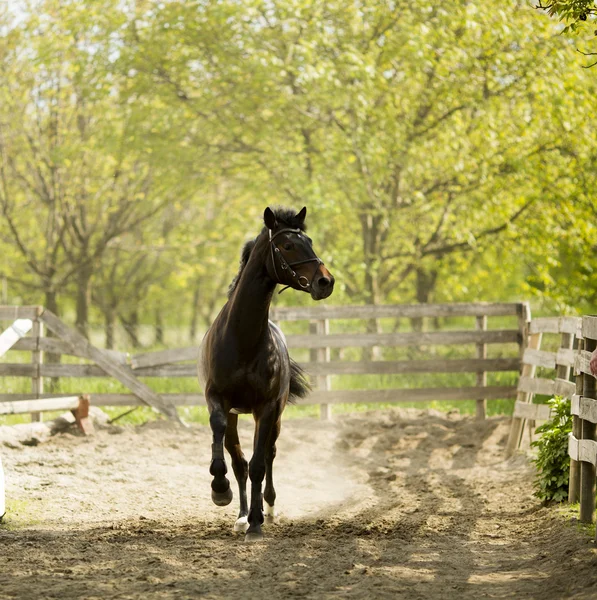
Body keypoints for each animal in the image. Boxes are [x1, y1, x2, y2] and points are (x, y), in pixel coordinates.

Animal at [198, 206, 332, 544]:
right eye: (287, 245)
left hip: (275, 416)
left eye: (309, 241)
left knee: (269, 454)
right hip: (237, 414)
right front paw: (220, 490)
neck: (243, 338)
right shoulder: (217, 399)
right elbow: (232, 454)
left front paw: (257, 523)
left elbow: (260, 463)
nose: (326, 281)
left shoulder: (267, 407)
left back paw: (266, 510)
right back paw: (241, 515)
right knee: (239, 460)